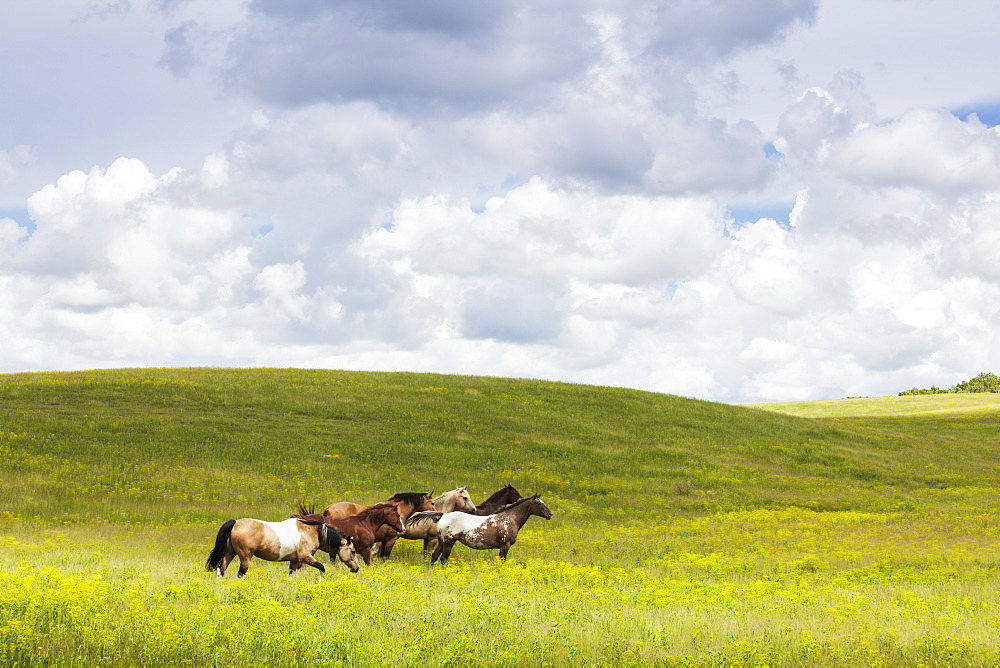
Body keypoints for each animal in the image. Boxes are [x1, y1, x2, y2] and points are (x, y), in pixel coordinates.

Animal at [204, 516, 360, 580]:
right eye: (353, 551)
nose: (356, 568)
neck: (313, 532)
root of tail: (235, 522)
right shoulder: (305, 557)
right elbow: (322, 568)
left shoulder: (294, 561)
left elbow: (290, 575)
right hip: (245, 558)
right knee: (240, 574)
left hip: (229, 554)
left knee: (221, 570)